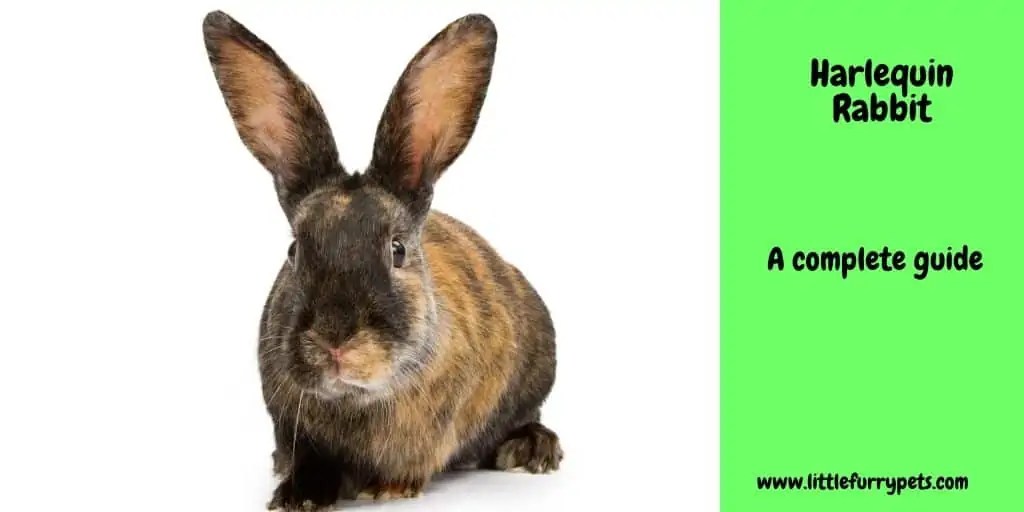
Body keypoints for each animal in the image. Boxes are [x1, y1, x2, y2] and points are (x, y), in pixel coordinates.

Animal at [202, 10, 561, 511]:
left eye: (398, 249)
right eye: (294, 251)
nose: (336, 342)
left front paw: (386, 488)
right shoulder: (290, 425)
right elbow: (305, 458)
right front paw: (297, 495)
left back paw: (531, 449)